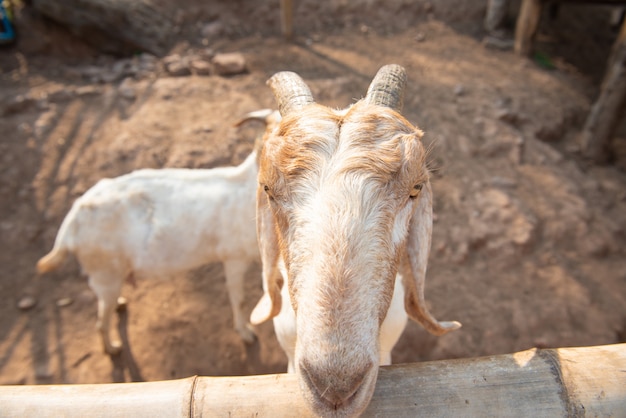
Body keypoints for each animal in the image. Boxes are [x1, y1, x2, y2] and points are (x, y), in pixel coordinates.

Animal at [35, 109, 276, 354]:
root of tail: (72, 222)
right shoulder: (234, 257)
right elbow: (239, 299)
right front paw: (246, 333)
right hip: (104, 273)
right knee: (100, 321)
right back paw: (113, 348)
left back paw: (120, 305)